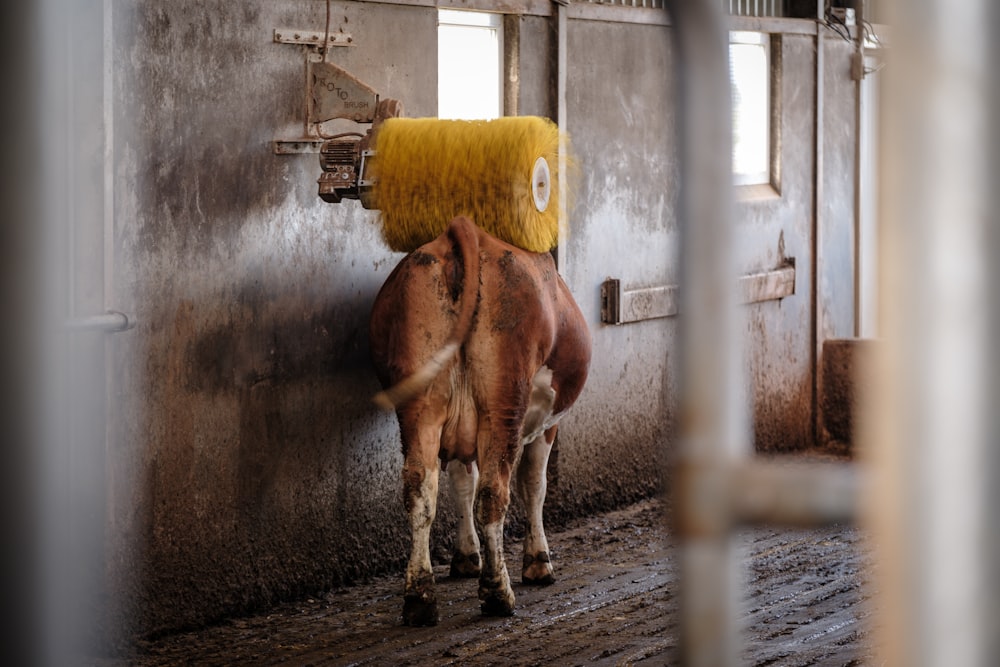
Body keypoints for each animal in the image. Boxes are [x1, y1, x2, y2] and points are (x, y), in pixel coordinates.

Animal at [370, 218, 588, 628]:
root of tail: (467, 231)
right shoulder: (547, 426)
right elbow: (534, 485)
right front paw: (538, 563)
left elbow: (461, 484)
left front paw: (466, 557)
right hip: (503, 402)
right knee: (494, 491)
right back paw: (498, 592)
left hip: (421, 405)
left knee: (420, 488)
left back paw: (420, 598)